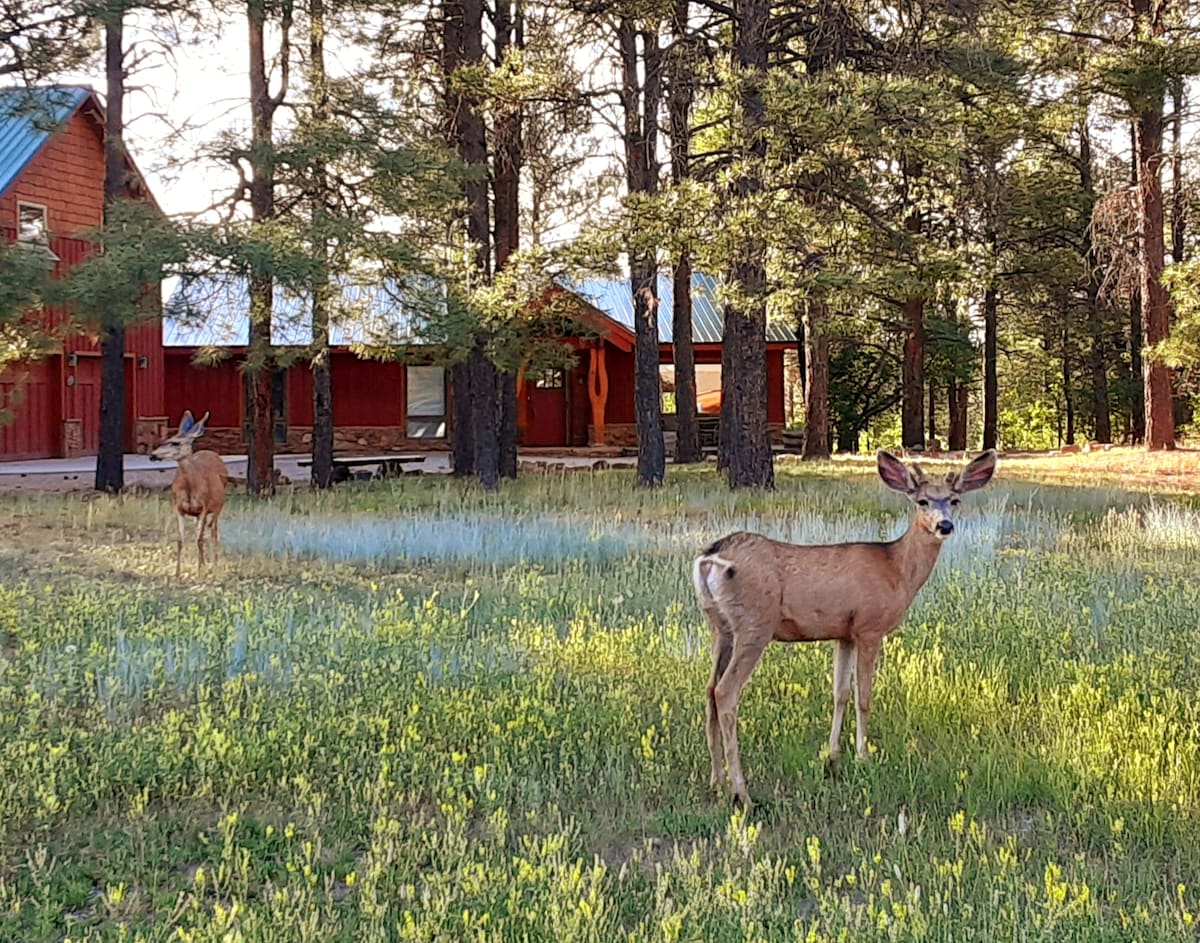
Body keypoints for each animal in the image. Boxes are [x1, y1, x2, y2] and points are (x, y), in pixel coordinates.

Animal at [148, 407, 230, 575]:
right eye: (167, 439)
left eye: (175, 442)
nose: (152, 455)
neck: (191, 488)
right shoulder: (179, 507)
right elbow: (181, 540)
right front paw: (177, 573)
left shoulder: (204, 507)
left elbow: (199, 539)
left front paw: (199, 572)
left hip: (218, 506)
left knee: (214, 532)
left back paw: (214, 563)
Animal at [691, 443, 998, 806]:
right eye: (922, 501)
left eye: (954, 500)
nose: (945, 526)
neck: (897, 571)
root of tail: (710, 557)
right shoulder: (869, 627)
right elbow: (863, 696)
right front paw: (863, 756)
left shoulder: (844, 633)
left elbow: (840, 692)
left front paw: (832, 756)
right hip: (754, 625)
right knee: (725, 692)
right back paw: (742, 792)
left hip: (719, 627)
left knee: (709, 689)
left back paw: (716, 781)